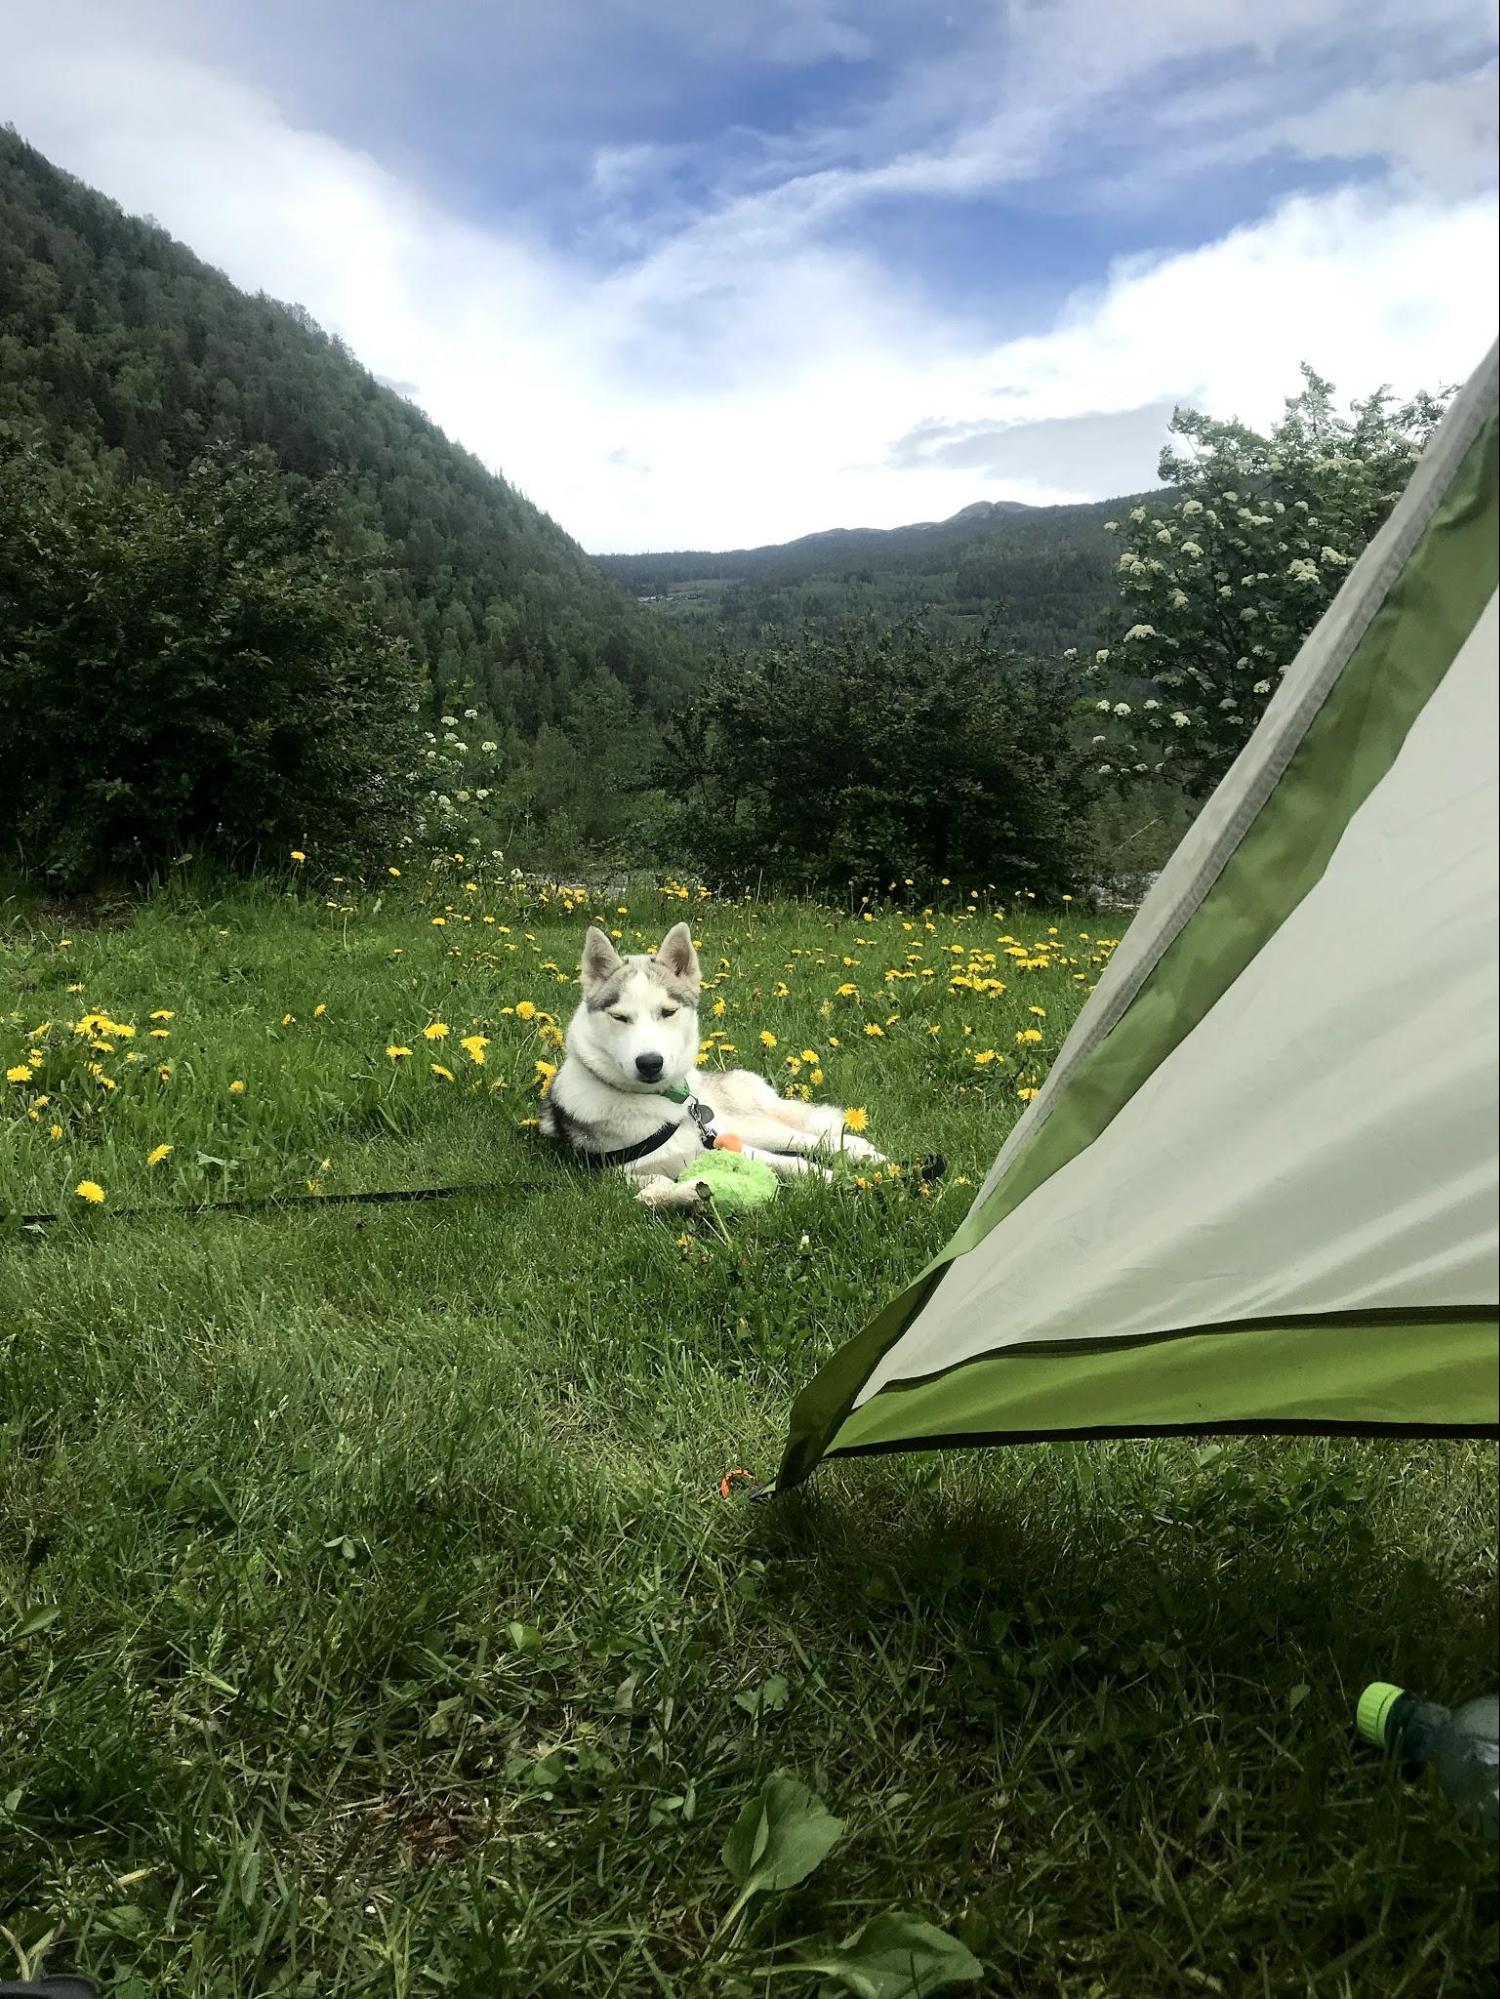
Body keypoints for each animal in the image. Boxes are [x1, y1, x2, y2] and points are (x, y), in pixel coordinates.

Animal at [544, 919, 888, 1199]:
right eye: (619, 1017)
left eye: (667, 1012)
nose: (650, 1063)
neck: (656, 1103)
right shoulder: (626, 1172)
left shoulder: (717, 1140)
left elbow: (796, 1162)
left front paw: (838, 1178)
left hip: (742, 1123)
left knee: (802, 1136)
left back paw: (860, 1152)